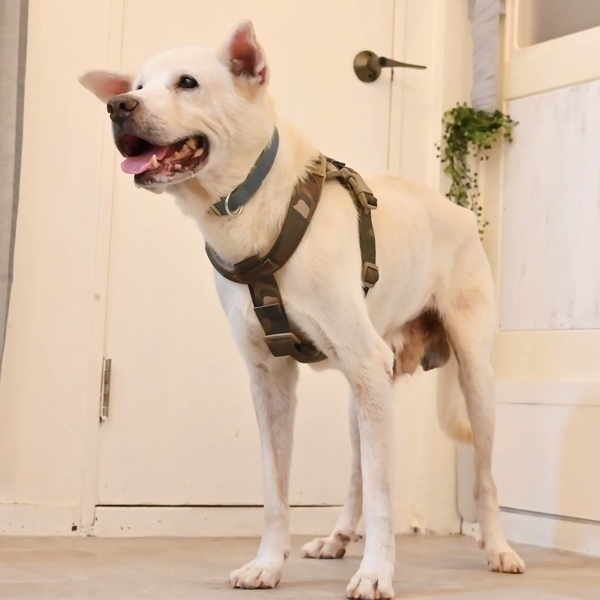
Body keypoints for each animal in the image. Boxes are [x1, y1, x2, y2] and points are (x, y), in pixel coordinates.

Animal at [80, 20, 525, 600]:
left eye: (187, 83)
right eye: (134, 85)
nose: (118, 106)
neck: (250, 210)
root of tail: (457, 210)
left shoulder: (365, 368)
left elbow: (385, 497)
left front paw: (376, 572)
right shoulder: (270, 380)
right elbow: (277, 492)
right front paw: (268, 564)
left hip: (470, 378)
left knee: (485, 477)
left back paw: (498, 549)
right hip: (365, 394)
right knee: (358, 474)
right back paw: (337, 538)